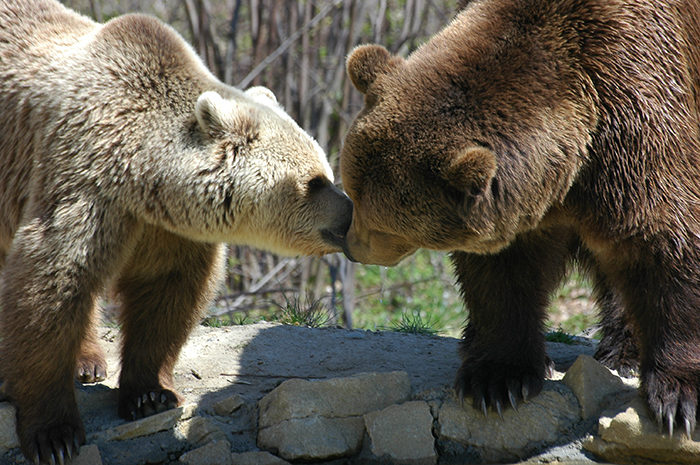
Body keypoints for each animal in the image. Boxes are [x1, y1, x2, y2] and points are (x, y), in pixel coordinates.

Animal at [0, 0, 350, 460]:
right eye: (315, 181)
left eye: (326, 170)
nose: (349, 213)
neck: (142, 174)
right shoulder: (85, 177)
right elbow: (52, 280)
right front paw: (54, 435)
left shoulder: (166, 226)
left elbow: (166, 292)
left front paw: (150, 395)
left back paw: (89, 360)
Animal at [342, 0, 700, 438]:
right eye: (352, 191)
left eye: (379, 222)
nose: (351, 245)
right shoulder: (517, 206)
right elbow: (503, 274)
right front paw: (498, 379)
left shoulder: (638, 118)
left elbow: (663, 241)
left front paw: (678, 397)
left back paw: (623, 351)